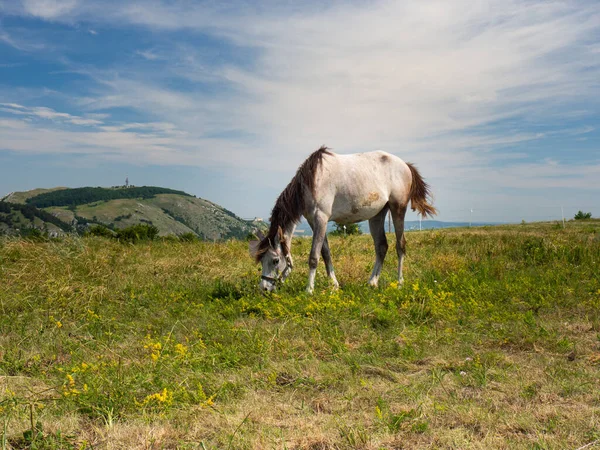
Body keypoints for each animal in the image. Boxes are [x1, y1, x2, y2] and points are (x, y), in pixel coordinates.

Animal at [248, 146, 436, 294]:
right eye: (261, 259)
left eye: (275, 260)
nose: (264, 288)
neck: (312, 180)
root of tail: (406, 165)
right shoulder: (313, 221)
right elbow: (326, 253)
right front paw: (334, 285)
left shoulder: (321, 218)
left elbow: (314, 257)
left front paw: (309, 290)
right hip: (377, 215)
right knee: (381, 246)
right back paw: (372, 282)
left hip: (398, 209)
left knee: (400, 246)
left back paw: (399, 283)